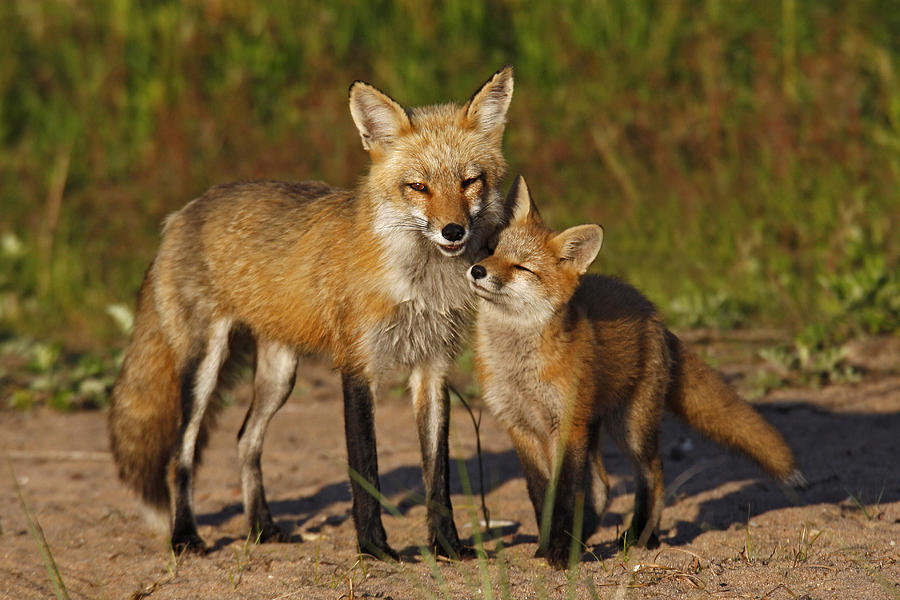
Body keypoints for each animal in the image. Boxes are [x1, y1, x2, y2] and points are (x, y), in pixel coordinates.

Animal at [108, 65, 512, 556]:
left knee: (245, 440)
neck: (420, 284)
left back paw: (262, 528)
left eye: (470, 181)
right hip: (204, 367)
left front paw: (448, 547)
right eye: (418, 186)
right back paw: (185, 535)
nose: (453, 231)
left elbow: (438, 476)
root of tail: (182, 212)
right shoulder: (357, 365)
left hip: (281, 374)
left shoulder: (433, 368)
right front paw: (375, 548)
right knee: (180, 455)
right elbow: (365, 468)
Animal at [468, 177, 804, 568]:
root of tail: (653, 312)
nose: (477, 271)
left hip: (630, 428)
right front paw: (548, 545)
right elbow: (542, 496)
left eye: (522, 268)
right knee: (602, 487)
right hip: (598, 426)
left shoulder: (566, 424)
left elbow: (564, 494)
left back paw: (643, 536)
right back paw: (588, 536)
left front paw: (560, 552)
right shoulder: (520, 426)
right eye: (490, 250)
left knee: (652, 473)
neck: (518, 367)